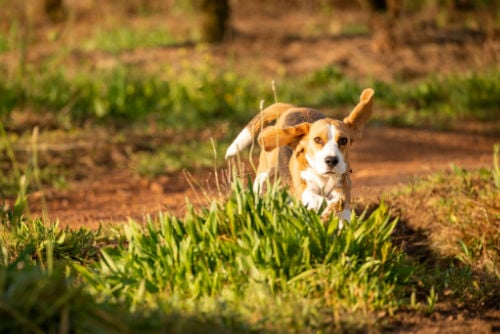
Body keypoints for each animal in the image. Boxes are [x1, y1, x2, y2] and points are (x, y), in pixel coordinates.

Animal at [227, 88, 376, 224]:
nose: (331, 160)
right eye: (317, 140)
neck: (323, 177)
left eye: (343, 140)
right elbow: (318, 199)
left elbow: (342, 206)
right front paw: (330, 207)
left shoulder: (342, 186)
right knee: (258, 187)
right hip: (265, 171)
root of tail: (294, 108)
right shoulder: (304, 189)